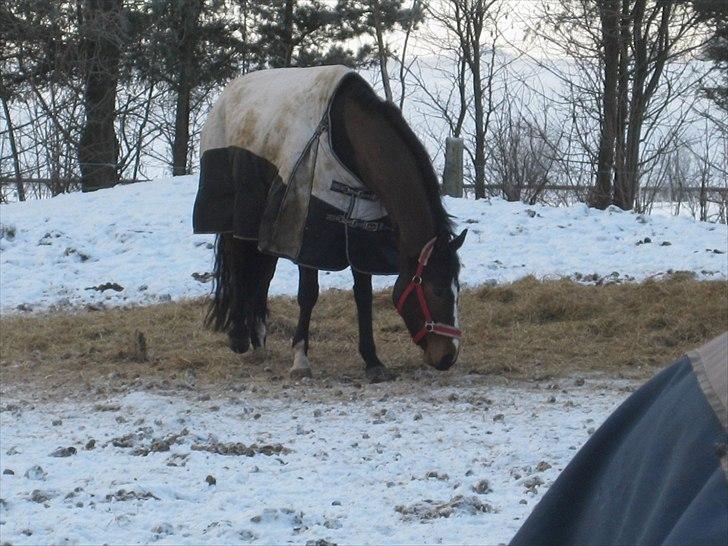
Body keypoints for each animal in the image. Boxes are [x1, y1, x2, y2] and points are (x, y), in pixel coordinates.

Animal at [193, 66, 466, 380]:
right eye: (436, 289)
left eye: (457, 289)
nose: (447, 357)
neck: (346, 138)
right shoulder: (306, 234)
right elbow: (308, 294)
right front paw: (300, 358)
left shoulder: (360, 233)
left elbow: (363, 296)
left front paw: (372, 360)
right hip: (239, 220)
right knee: (240, 267)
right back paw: (239, 338)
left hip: (263, 228)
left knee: (262, 275)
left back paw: (259, 339)